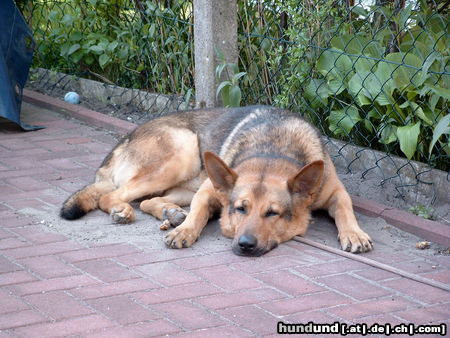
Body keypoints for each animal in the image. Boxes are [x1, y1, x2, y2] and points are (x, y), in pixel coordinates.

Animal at [62, 105, 372, 256]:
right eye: (240, 209)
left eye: (272, 213)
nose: (245, 244)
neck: (273, 151)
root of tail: (124, 140)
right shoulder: (208, 190)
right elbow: (198, 214)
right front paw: (185, 231)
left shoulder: (337, 192)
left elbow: (345, 210)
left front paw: (354, 233)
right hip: (182, 150)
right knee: (111, 195)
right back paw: (125, 211)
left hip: (185, 181)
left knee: (149, 200)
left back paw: (169, 212)